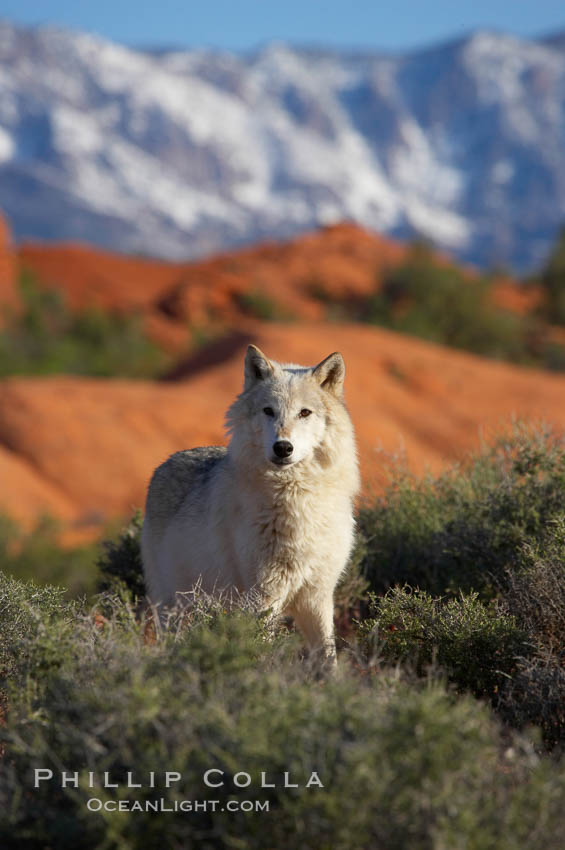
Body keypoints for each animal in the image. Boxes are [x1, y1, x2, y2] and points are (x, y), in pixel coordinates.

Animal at [143, 342, 360, 656]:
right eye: (269, 411)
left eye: (305, 413)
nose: (283, 447)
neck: (297, 499)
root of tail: (165, 462)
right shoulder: (264, 597)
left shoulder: (317, 597)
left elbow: (327, 655)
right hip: (173, 607)